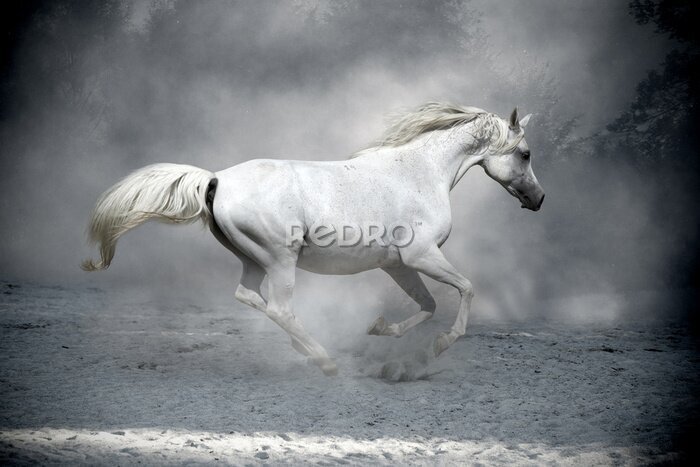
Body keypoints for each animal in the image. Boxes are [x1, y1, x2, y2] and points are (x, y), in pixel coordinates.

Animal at [82, 103, 544, 376]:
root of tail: (217, 179)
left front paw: (380, 329)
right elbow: (466, 289)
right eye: (525, 154)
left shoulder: (397, 265)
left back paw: (304, 348)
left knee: (249, 296)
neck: (419, 172)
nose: (538, 199)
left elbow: (428, 306)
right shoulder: (421, 256)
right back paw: (324, 360)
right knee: (280, 307)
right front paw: (439, 346)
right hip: (281, 261)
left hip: (254, 260)